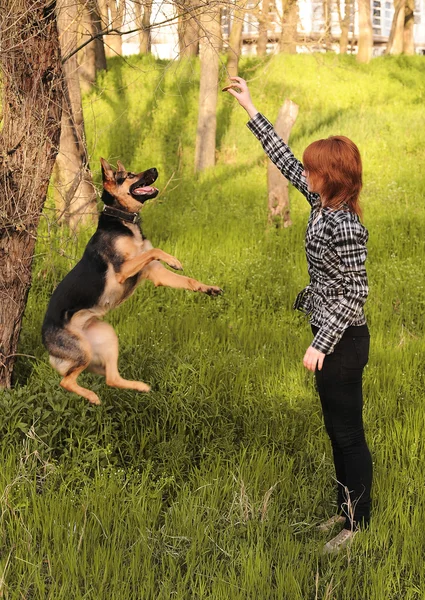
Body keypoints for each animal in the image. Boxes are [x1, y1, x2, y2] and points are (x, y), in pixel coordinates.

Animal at [41, 157, 224, 406]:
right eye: (129, 175)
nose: (155, 169)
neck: (122, 218)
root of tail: (44, 337)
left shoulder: (154, 272)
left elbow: (186, 278)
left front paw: (207, 288)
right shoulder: (123, 270)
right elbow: (155, 251)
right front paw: (174, 260)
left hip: (107, 337)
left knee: (110, 378)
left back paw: (139, 387)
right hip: (82, 351)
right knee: (66, 381)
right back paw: (92, 397)